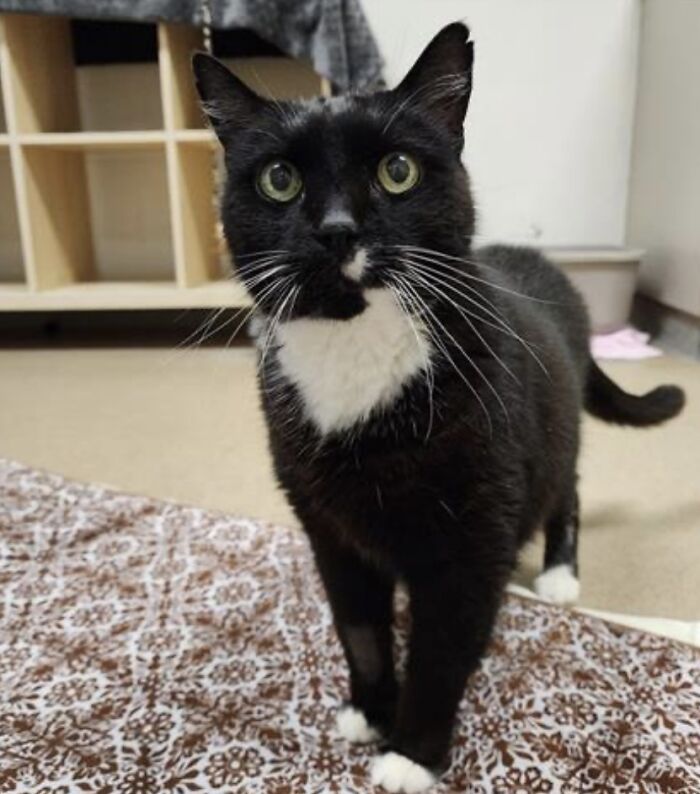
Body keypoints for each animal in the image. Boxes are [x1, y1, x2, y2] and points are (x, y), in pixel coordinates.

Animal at [191, 24, 684, 792]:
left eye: (398, 171)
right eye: (279, 180)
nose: (337, 229)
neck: (358, 350)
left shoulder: (470, 542)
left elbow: (442, 650)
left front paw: (411, 754)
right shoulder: (327, 528)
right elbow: (359, 629)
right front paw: (370, 710)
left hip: (554, 431)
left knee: (566, 486)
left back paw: (559, 573)